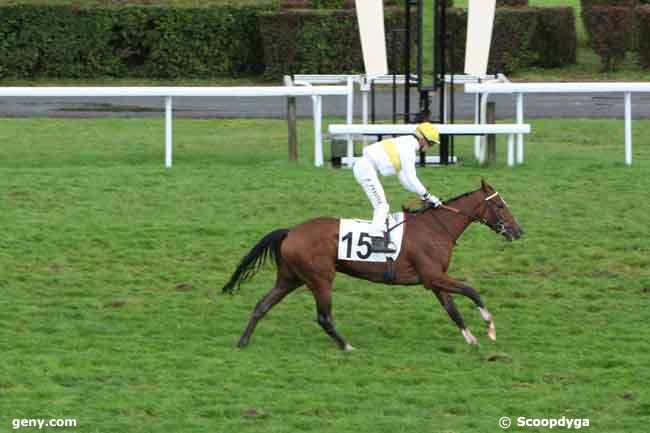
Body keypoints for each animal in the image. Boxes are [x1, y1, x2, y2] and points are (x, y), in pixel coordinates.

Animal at [223, 177, 520, 350]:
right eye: (501, 206)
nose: (518, 231)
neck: (437, 227)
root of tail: (290, 232)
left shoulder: (435, 279)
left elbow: (453, 310)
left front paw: (471, 339)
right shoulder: (432, 277)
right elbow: (472, 291)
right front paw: (489, 326)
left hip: (290, 278)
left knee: (262, 305)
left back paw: (243, 341)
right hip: (320, 279)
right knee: (323, 317)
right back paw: (346, 346)